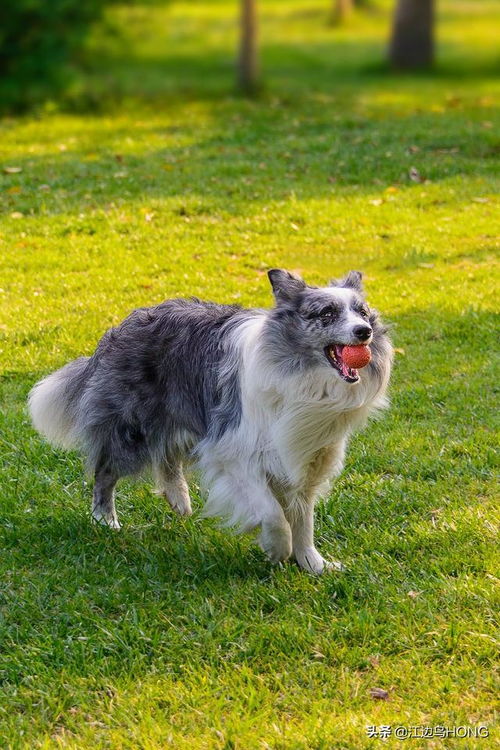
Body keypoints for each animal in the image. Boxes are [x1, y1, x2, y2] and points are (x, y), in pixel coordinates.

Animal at [29, 270, 392, 576]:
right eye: (327, 313)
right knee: (105, 472)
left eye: (362, 312)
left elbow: (303, 519)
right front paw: (278, 549)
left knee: (167, 456)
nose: (364, 332)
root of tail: (125, 323)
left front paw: (313, 564)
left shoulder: (305, 456)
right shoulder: (233, 451)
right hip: (133, 428)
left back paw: (179, 500)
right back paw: (105, 520)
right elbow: (273, 514)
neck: (306, 381)